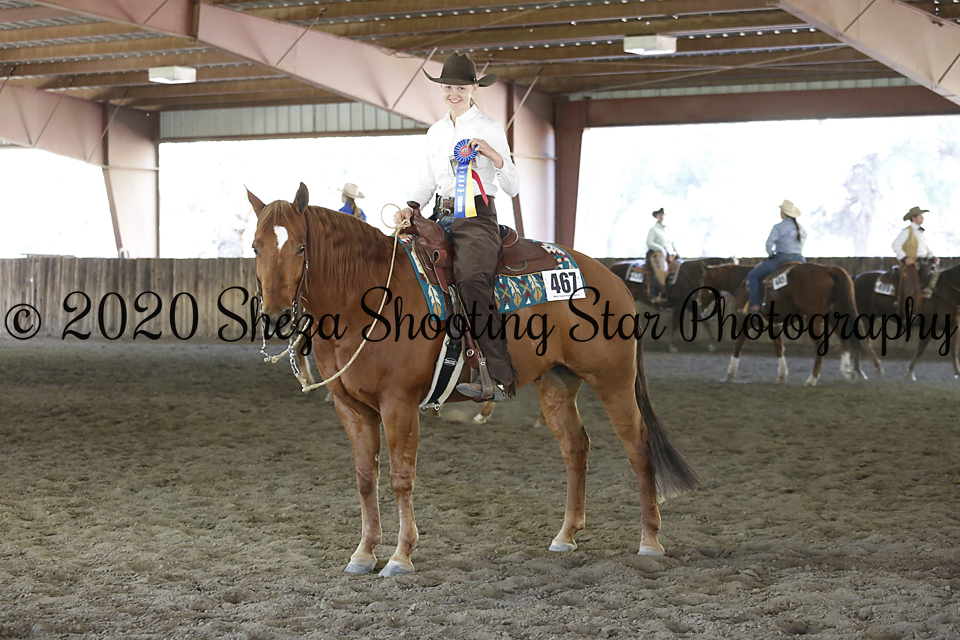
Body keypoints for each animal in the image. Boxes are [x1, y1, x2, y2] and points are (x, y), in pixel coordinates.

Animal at [247, 183, 700, 576]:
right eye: (256, 246)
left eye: (300, 246)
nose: (276, 316)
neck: (365, 295)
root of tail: (611, 278)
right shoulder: (351, 406)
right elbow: (364, 478)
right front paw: (363, 552)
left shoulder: (399, 403)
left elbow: (400, 478)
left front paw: (400, 556)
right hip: (557, 382)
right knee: (576, 447)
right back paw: (566, 535)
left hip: (613, 380)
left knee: (638, 447)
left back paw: (650, 541)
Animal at [697, 263, 880, 386]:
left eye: (702, 283)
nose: (698, 303)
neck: (741, 282)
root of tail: (828, 269)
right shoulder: (773, 324)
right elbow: (778, 348)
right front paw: (782, 375)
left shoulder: (744, 320)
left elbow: (738, 345)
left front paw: (729, 373)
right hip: (832, 315)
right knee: (845, 340)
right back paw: (848, 372)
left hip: (814, 319)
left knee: (821, 345)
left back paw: (812, 378)